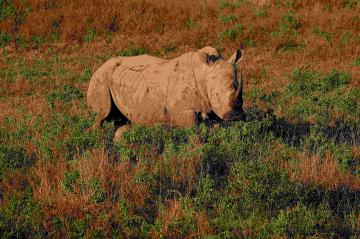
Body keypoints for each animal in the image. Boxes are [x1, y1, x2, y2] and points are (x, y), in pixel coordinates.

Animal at [87, 45, 245, 137]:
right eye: (217, 94)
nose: (236, 116)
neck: (203, 74)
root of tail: (101, 65)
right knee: (102, 113)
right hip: (100, 78)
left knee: (120, 120)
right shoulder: (183, 111)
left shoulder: (211, 108)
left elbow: (215, 128)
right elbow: (194, 130)